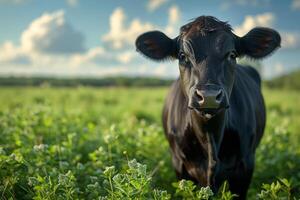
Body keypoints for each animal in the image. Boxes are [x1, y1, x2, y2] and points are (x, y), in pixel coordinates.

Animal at [135, 16, 280, 199]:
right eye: (182, 56)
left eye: (232, 54)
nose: (209, 96)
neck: (209, 135)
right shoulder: (179, 165)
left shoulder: (246, 164)